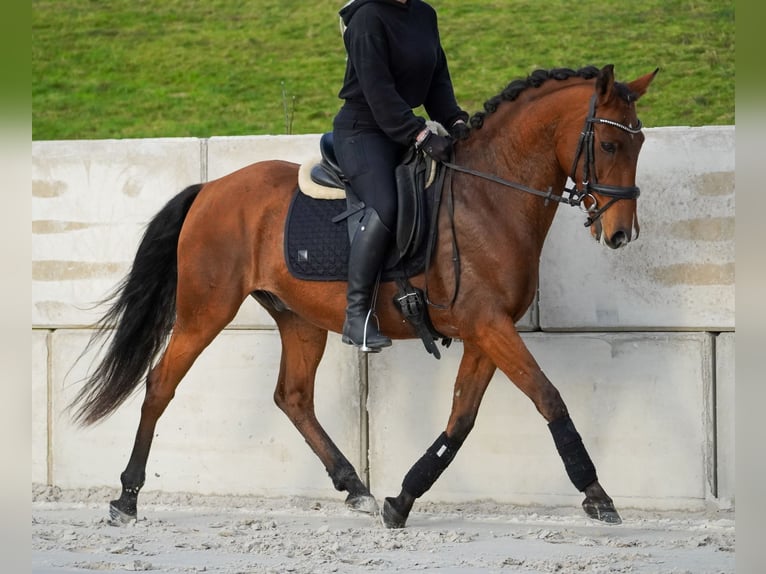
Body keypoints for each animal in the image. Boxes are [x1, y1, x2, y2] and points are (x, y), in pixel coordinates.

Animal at [69, 64, 660, 532]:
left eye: (639, 144)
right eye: (609, 144)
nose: (621, 234)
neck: (490, 195)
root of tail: (210, 189)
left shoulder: (484, 330)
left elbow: (461, 419)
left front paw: (402, 499)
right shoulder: (488, 324)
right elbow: (548, 397)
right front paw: (597, 495)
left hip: (300, 318)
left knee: (293, 397)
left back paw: (354, 486)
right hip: (204, 312)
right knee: (161, 384)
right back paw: (126, 498)